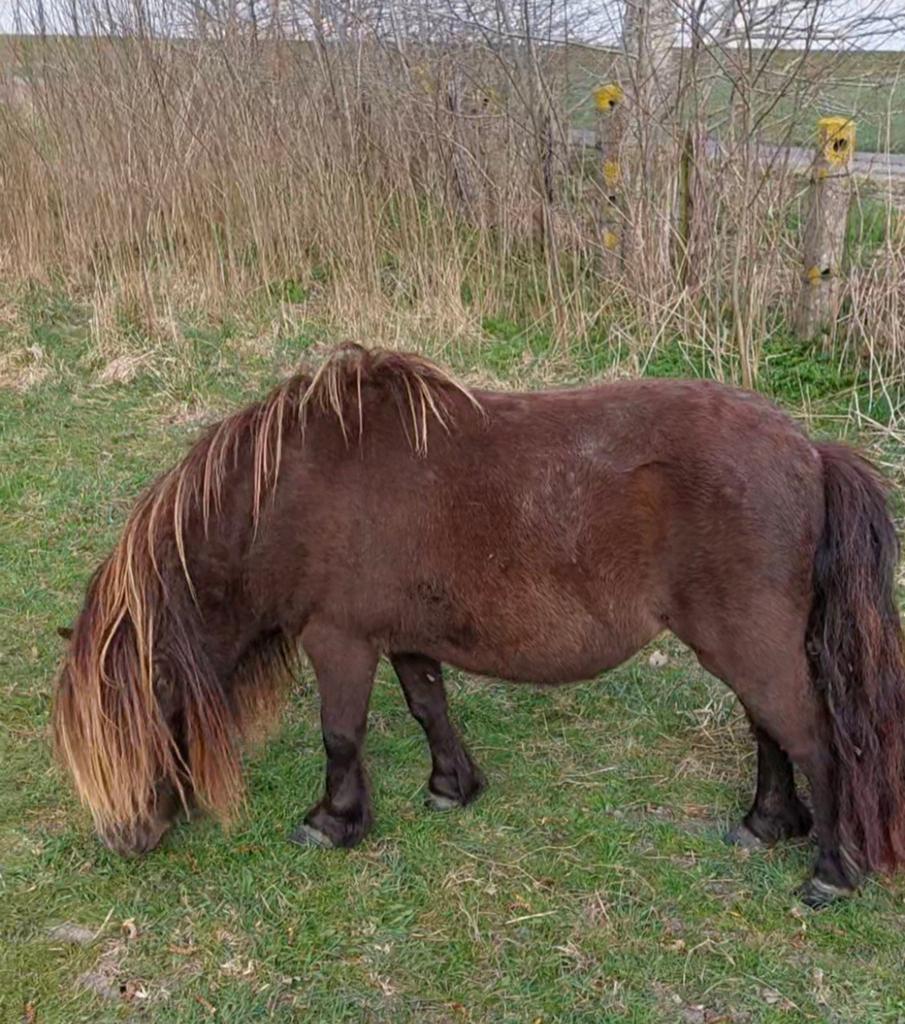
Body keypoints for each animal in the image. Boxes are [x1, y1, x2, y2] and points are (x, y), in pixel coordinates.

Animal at [53, 343, 905, 907]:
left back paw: (829, 872)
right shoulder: (403, 638)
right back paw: (765, 823)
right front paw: (450, 786)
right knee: (769, 730)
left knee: (812, 739)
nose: (124, 839)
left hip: (749, 642)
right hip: (740, 644)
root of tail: (807, 450)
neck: (288, 494)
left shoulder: (339, 640)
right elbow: (428, 706)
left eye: (125, 726)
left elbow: (341, 735)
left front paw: (333, 822)